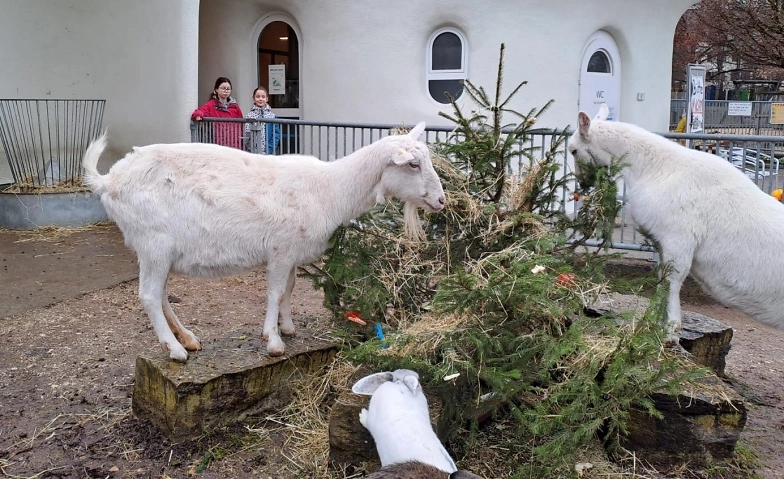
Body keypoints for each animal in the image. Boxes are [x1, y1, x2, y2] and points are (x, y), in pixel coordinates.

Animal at [84, 125, 448, 362]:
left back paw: (187, 339)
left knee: (159, 294)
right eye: (413, 164)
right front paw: (273, 340)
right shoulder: (280, 249)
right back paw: (174, 350)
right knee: (148, 295)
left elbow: (288, 289)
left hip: (159, 251)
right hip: (154, 242)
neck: (329, 188)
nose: (441, 201)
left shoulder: (292, 253)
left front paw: (286, 327)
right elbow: (273, 292)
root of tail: (107, 180)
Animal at [568, 104, 784, 344]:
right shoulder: (664, 244)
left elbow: (672, 281)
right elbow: (662, 280)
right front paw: (655, 324)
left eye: (574, 151)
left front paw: (670, 332)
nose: (582, 183)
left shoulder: (678, 239)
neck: (654, 168)